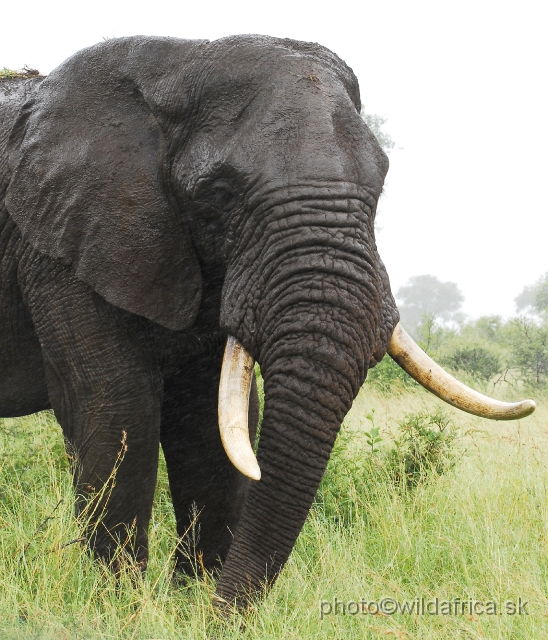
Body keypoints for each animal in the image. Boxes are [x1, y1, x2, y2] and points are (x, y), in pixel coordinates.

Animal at [0, 36, 532, 608]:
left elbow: (206, 425)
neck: (176, 63)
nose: (223, 612)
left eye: (383, 185)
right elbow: (118, 406)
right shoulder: (59, 244)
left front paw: (191, 604)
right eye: (219, 193)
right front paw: (120, 609)